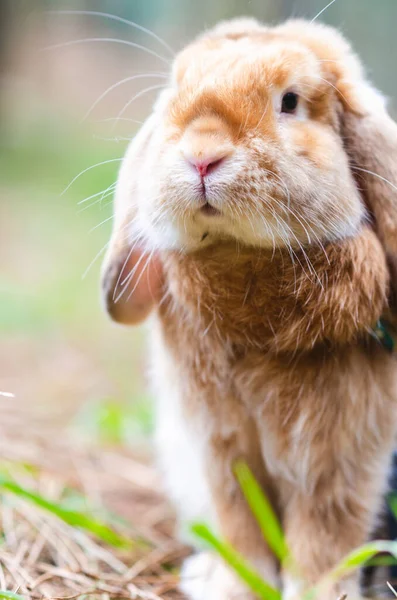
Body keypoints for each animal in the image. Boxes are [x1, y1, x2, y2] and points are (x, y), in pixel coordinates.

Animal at [100, 18, 396, 600]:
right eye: (176, 91)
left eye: (290, 101)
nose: (202, 154)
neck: (241, 262)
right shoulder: (220, 446)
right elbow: (239, 518)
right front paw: (234, 585)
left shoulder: (341, 459)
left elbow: (325, 532)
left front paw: (317, 592)